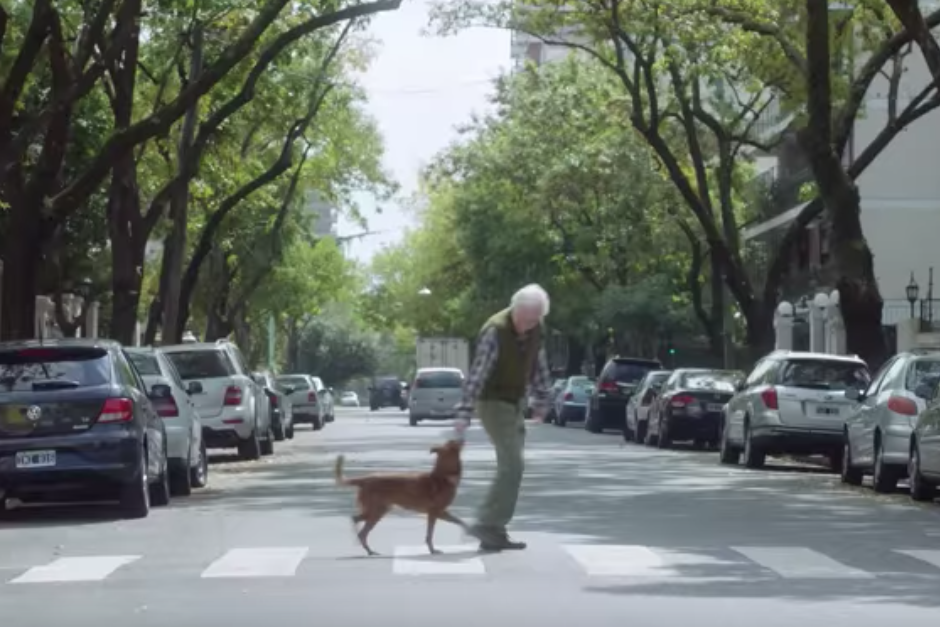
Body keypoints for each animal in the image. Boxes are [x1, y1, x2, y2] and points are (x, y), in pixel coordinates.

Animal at [336, 440, 470, 556]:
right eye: (452, 443)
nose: (462, 439)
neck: (443, 476)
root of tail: (365, 479)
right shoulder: (435, 513)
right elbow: (430, 534)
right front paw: (432, 550)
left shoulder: (441, 512)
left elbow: (461, 522)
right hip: (377, 512)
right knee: (360, 529)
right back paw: (367, 548)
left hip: (378, 511)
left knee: (356, 522)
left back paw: (367, 549)